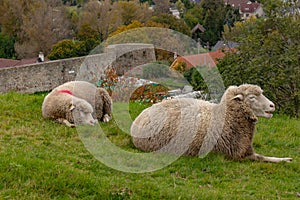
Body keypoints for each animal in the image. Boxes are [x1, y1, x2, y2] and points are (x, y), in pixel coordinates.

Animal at [130, 83, 292, 163]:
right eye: (252, 97)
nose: (272, 106)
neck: (226, 118)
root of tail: (142, 115)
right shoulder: (236, 155)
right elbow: (262, 158)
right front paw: (285, 160)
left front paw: (285, 158)